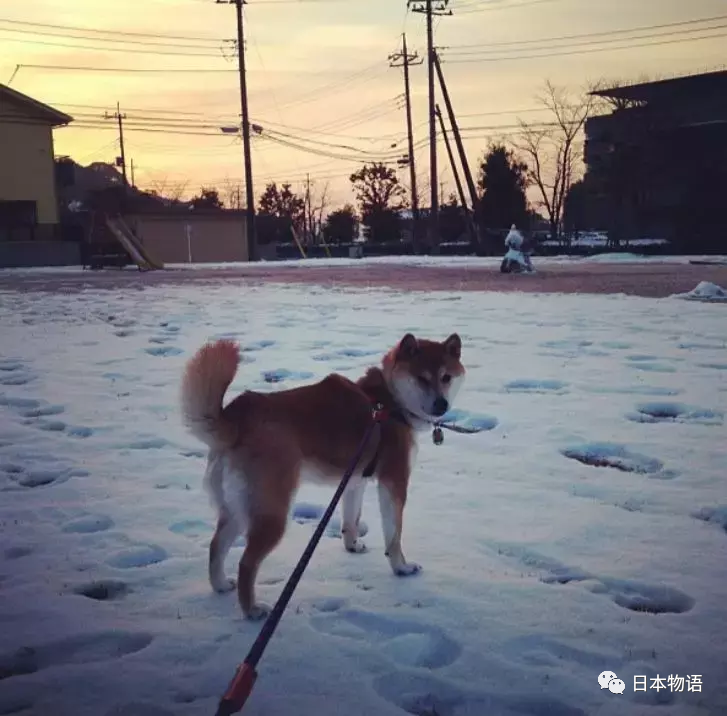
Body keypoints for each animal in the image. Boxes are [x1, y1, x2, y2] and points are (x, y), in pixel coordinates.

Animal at [182, 332, 466, 620]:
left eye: (446, 377)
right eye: (422, 378)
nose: (441, 404)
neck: (389, 402)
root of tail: (237, 418)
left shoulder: (354, 481)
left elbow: (351, 521)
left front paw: (352, 546)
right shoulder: (393, 483)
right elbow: (394, 535)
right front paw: (402, 568)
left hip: (236, 509)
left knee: (216, 546)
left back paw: (220, 585)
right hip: (272, 514)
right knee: (246, 563)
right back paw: (252, 610)